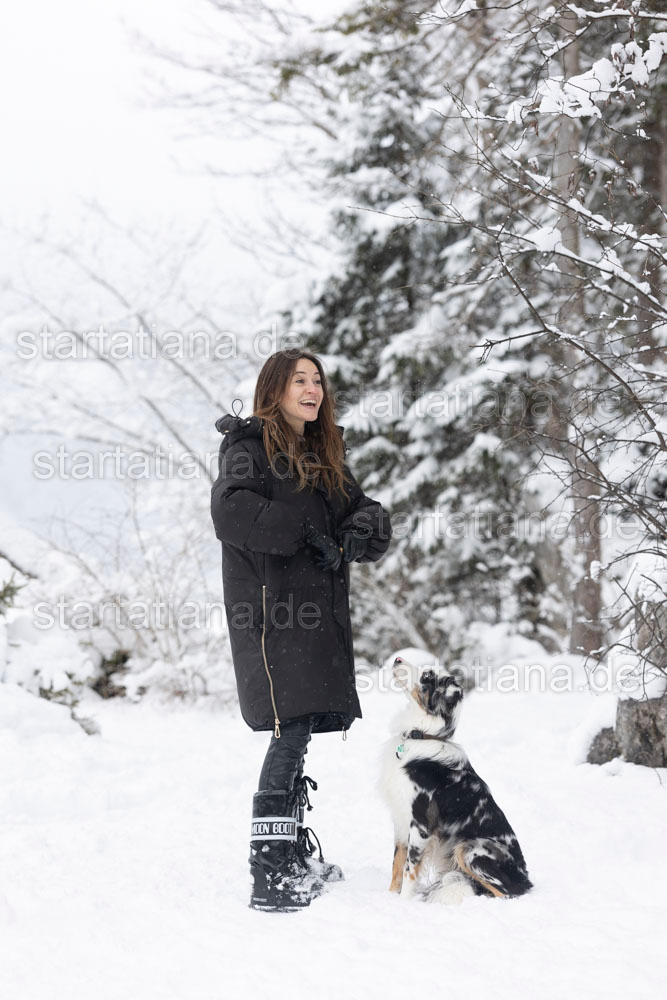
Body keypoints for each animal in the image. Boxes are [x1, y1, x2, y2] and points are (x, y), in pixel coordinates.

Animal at [378, 656, 532, 904]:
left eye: (427, 676)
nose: (398, 659)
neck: (423, 735)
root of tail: (525, 879)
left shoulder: (421, 823)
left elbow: (410, 869)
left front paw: (403, 904)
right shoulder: (400, 818)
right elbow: (397, 864)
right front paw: (390, 898)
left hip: (469, 849)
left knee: (507, 893)